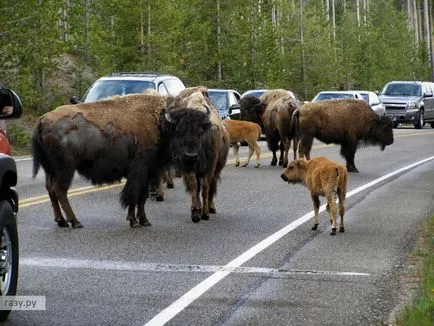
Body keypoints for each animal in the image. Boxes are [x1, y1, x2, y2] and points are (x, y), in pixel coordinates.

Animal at [31, 91, 227, 228]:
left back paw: (61, 221)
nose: (190, 156)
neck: (160, 122)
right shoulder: (139, 171)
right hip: (66, 169)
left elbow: (142, 196)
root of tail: (43, 119)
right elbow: (134, 195)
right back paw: (75, 222)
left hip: (51, 170)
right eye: (178, 130)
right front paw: (134, 221)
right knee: (60, 191)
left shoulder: (150, 172)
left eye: (199, 131)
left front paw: (144, 220)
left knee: (51, 190)